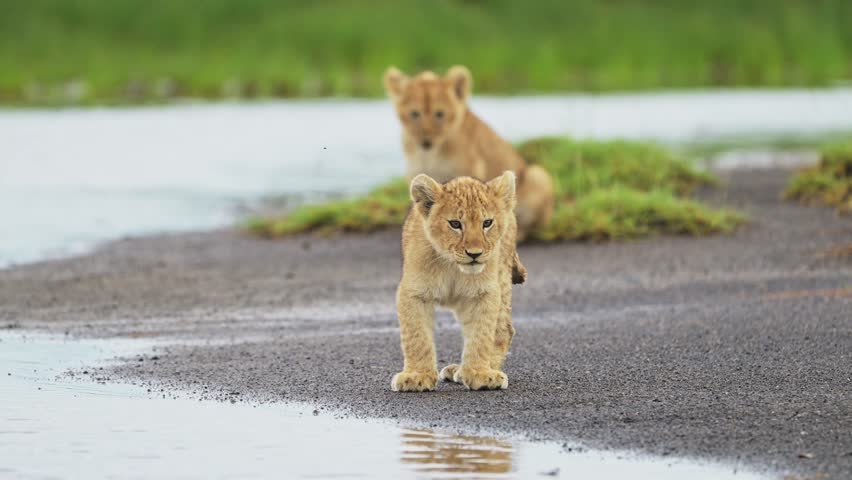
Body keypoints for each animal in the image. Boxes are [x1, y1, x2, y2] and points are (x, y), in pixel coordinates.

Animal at [384, 65, 554, 240]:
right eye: (414, 114)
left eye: (440, 114)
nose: (426, 141)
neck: (430, 154)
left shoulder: (470, 170)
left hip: (537, 175)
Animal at [391, 171, 524, 392]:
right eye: (455, 224)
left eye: (487, 223)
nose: (474, 254)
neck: (452, 266)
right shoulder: (412, 292)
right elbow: (417, 336)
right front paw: (417, 376)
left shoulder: (485, 293)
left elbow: (481, 335)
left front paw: (480, 374)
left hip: (503, 276)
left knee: (504, 330)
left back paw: (470, 370)